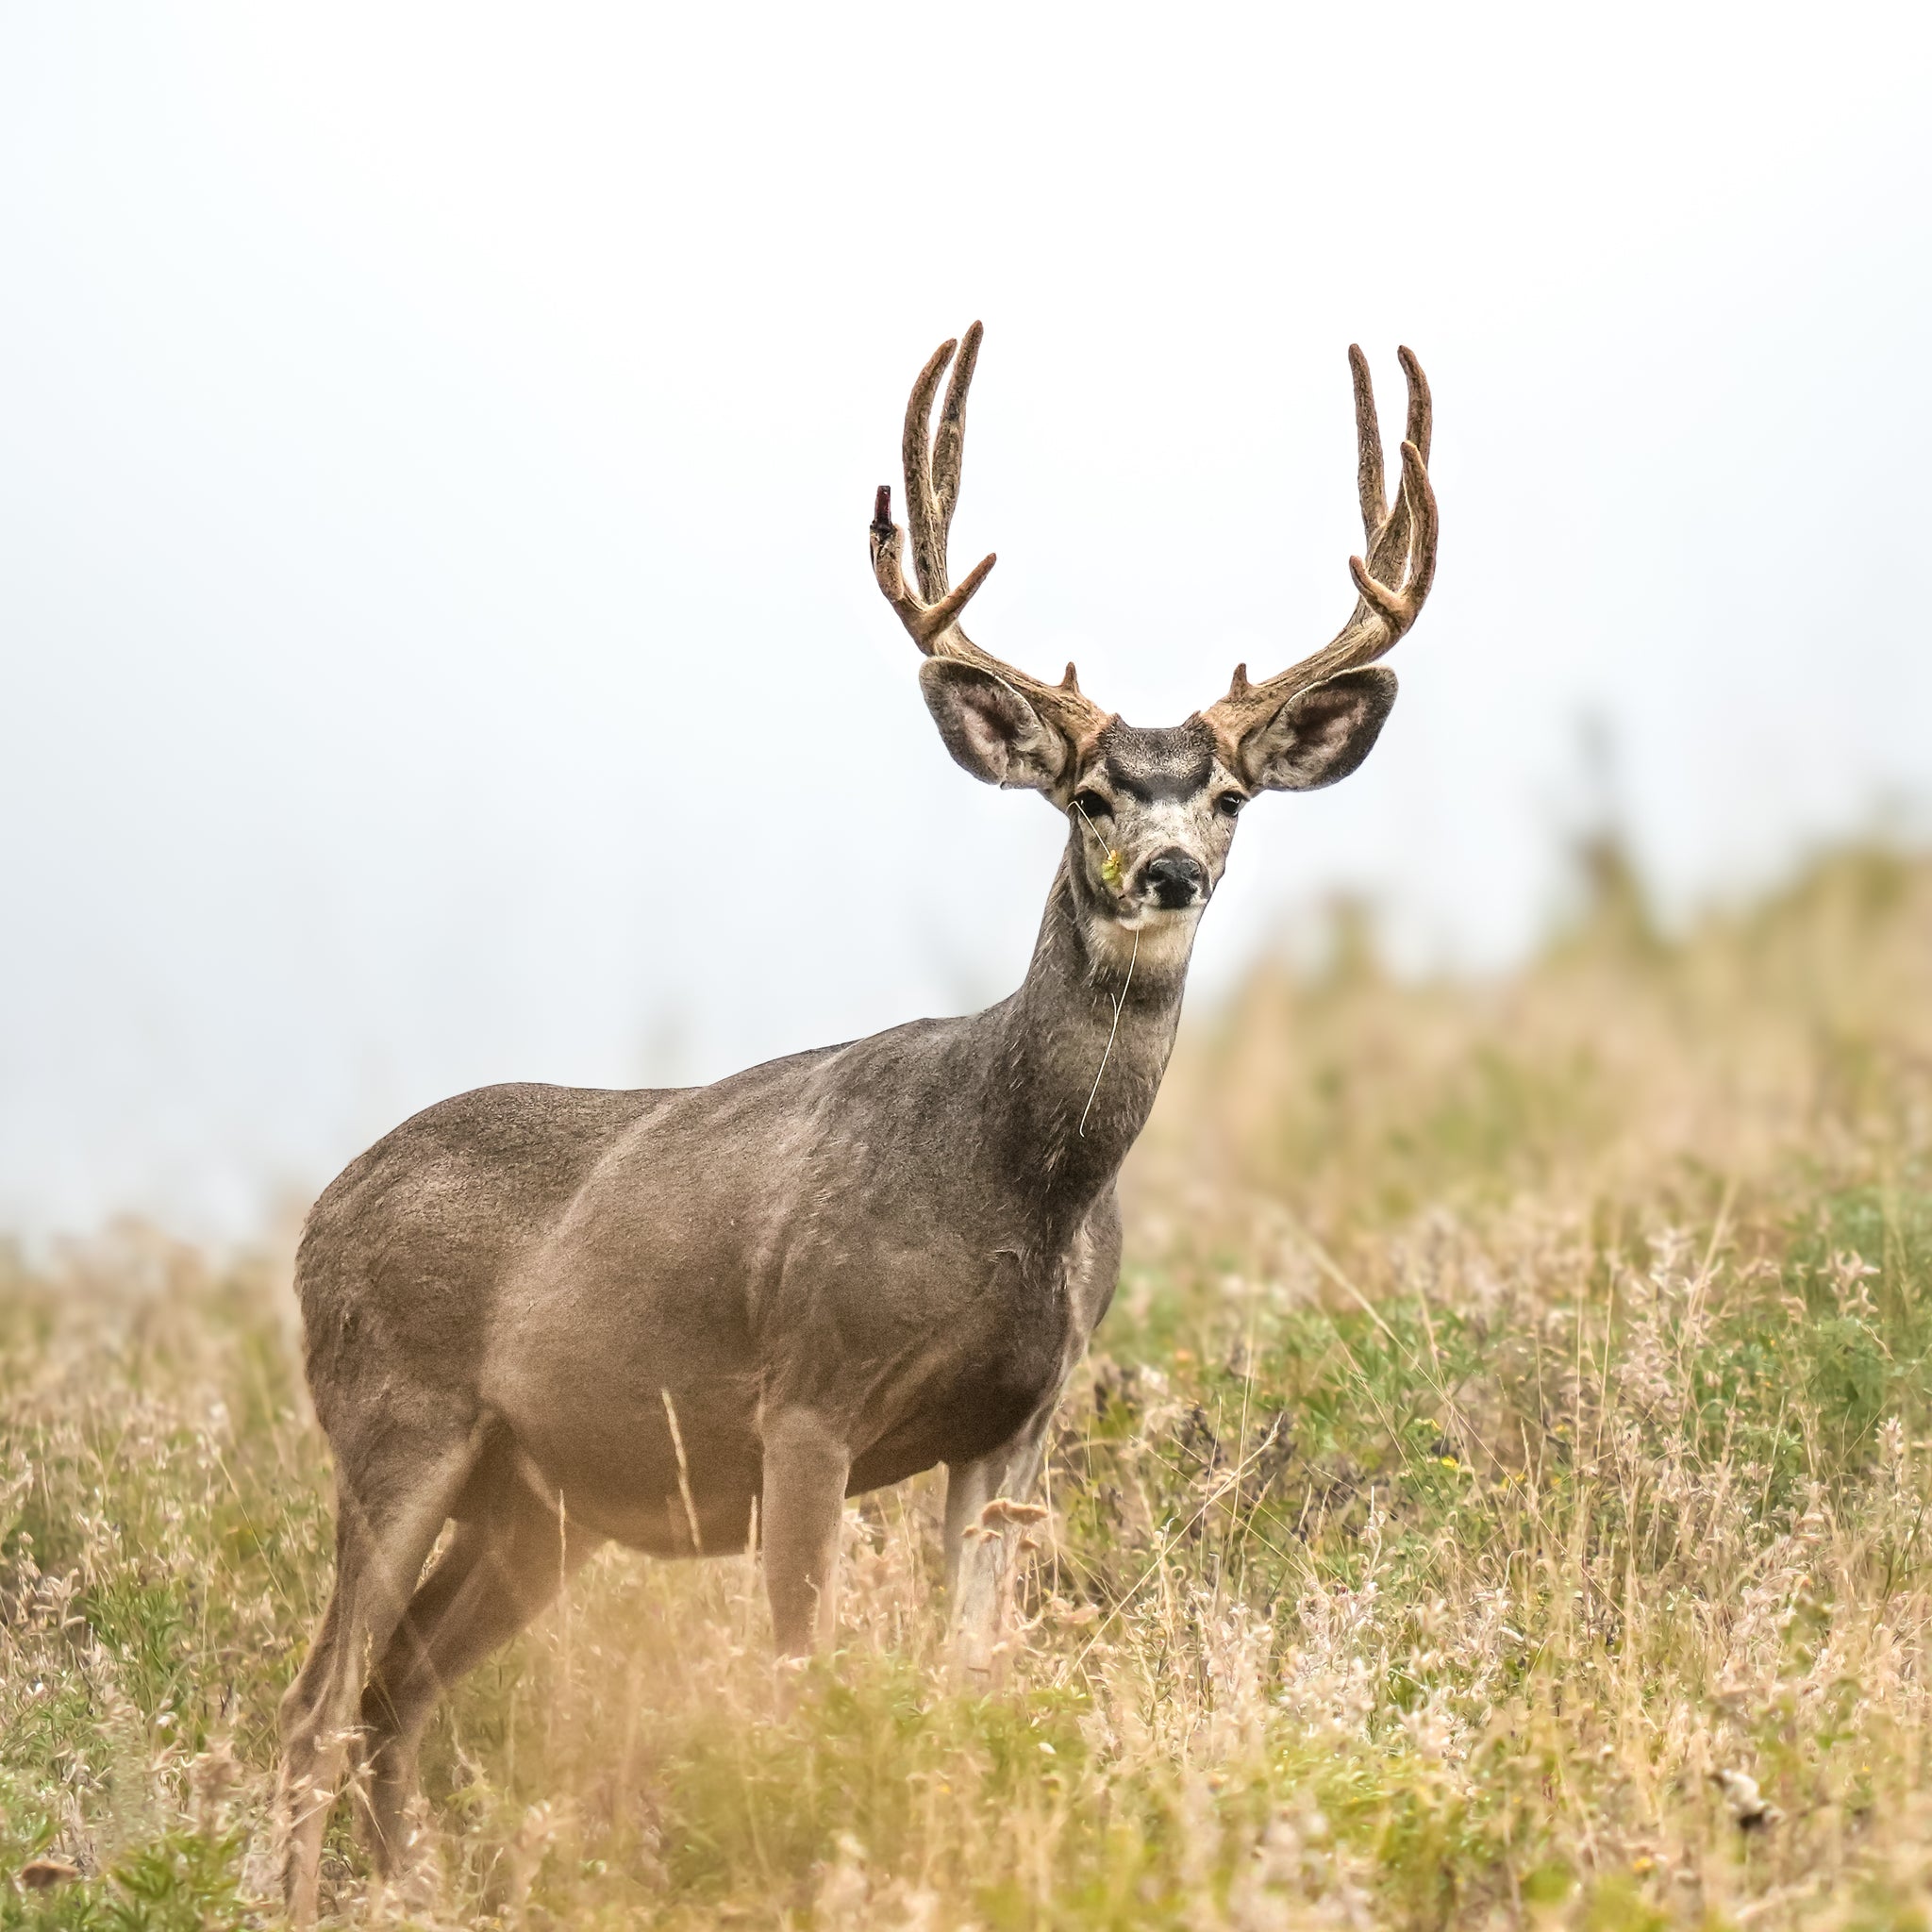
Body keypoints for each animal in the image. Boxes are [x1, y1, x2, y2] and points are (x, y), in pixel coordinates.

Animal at [279, 320, 1444, 1916]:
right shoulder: (808, 1393)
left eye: (1225, 795)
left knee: (396, 1691)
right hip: (394, 1415)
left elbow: (971, 1675)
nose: (1166, 873)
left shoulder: (1017, 1421)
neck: (1016, 1188)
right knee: (316, 1700)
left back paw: (419, 1893)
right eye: (1087, 795)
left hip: (536, 1498)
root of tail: (316, 1217)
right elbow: (795, 1679)